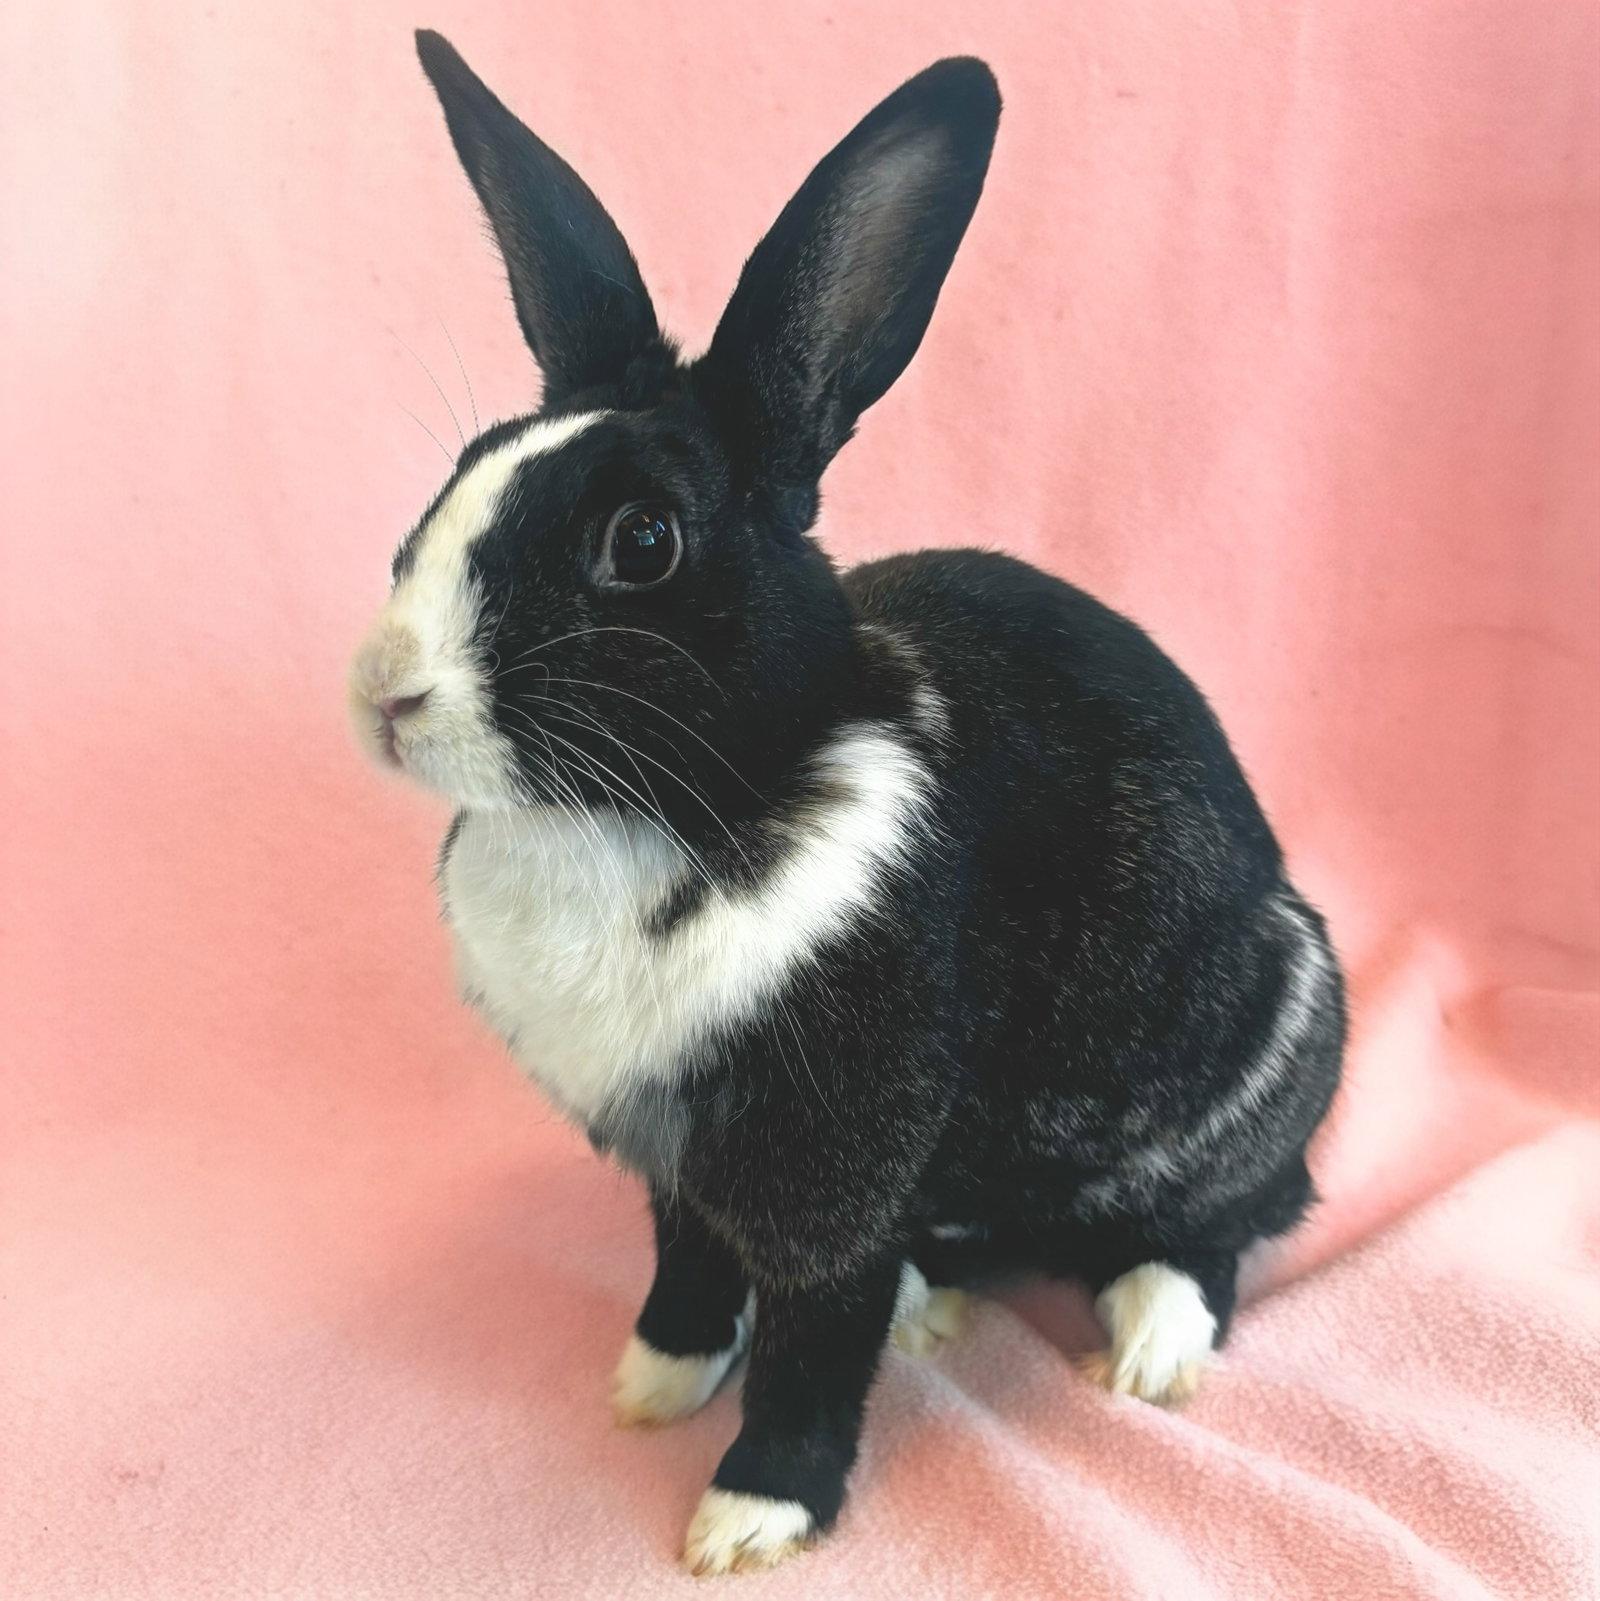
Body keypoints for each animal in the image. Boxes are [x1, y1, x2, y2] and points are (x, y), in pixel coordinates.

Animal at [349, 30, 1345, 1577]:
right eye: (456, 476)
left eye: (643, 541)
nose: (390, 691)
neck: (659, 810)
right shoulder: (678, 1148)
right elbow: (689, 1263)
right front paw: (649, 1384)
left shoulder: (825, 1160)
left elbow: (817, 1336)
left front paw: (752, 1513)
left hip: (1262, 1048)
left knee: (1224, 1220)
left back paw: (1147, 1345)